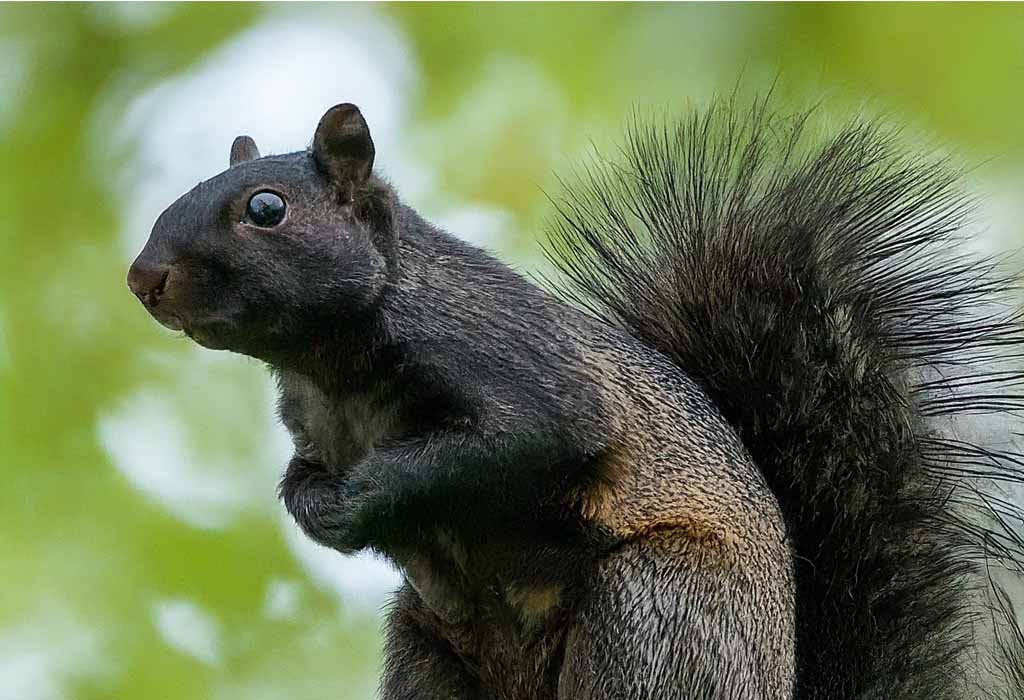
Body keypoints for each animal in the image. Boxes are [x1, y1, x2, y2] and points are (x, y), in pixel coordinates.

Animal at [127, 98, 1024, 699]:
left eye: (265, 209)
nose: (144, 278)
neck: (326, 364)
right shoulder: (310, 425)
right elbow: (300, 475)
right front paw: (318, 507)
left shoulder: (512, 359)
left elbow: (532, 433)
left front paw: (374, 494)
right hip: (427, 656)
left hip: (655, 617)